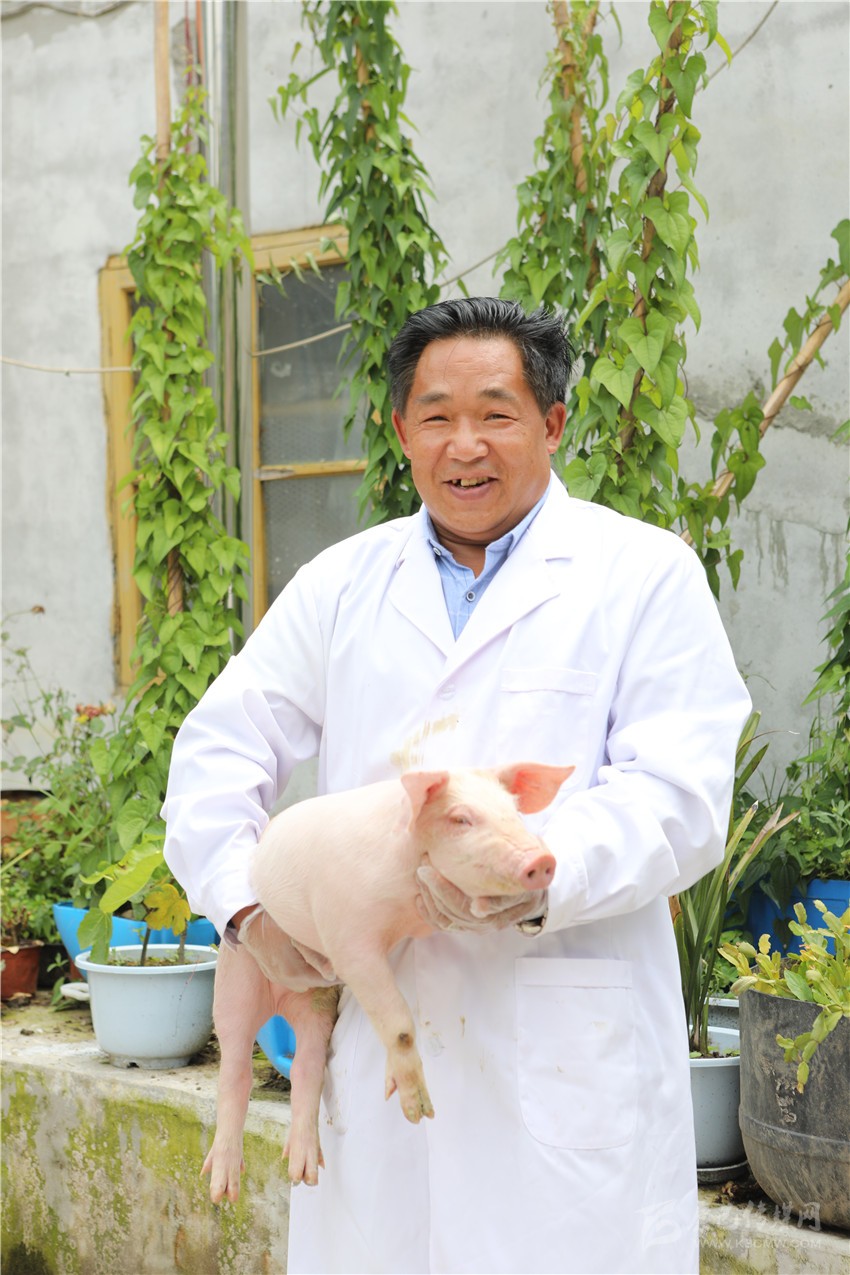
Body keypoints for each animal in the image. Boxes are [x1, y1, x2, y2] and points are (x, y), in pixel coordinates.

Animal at [202, 761, 573, 1205]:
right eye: (460, 819)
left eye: (515, 813)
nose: (543, 858)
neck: (403, 902)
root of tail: (281, 999)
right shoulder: (348, 940)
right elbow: (397, 1023)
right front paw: (420, 1112)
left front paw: (394, 1090)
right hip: (236, 977)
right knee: (234, 1069)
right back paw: (222, 1190)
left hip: (318, 1000)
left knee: (307, 1067)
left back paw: (303, 1174)